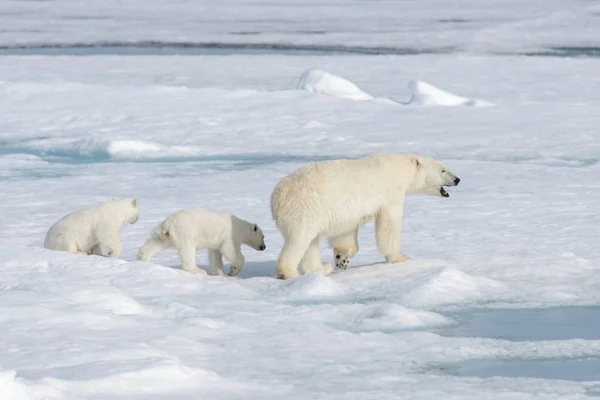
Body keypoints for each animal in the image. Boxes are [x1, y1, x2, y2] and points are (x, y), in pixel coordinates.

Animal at [270, 152, 462, 280]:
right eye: (443, 170)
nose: (457, 179)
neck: (399, 168)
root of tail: (276, 198)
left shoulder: (345, 212)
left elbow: (345, 233)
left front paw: (342, 258)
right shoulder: (390, 193)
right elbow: (389, 225)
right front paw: (400, 257)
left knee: (310, 244)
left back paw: (323, 268)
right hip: (305, 209)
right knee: (300, 241)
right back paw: (288, 273)